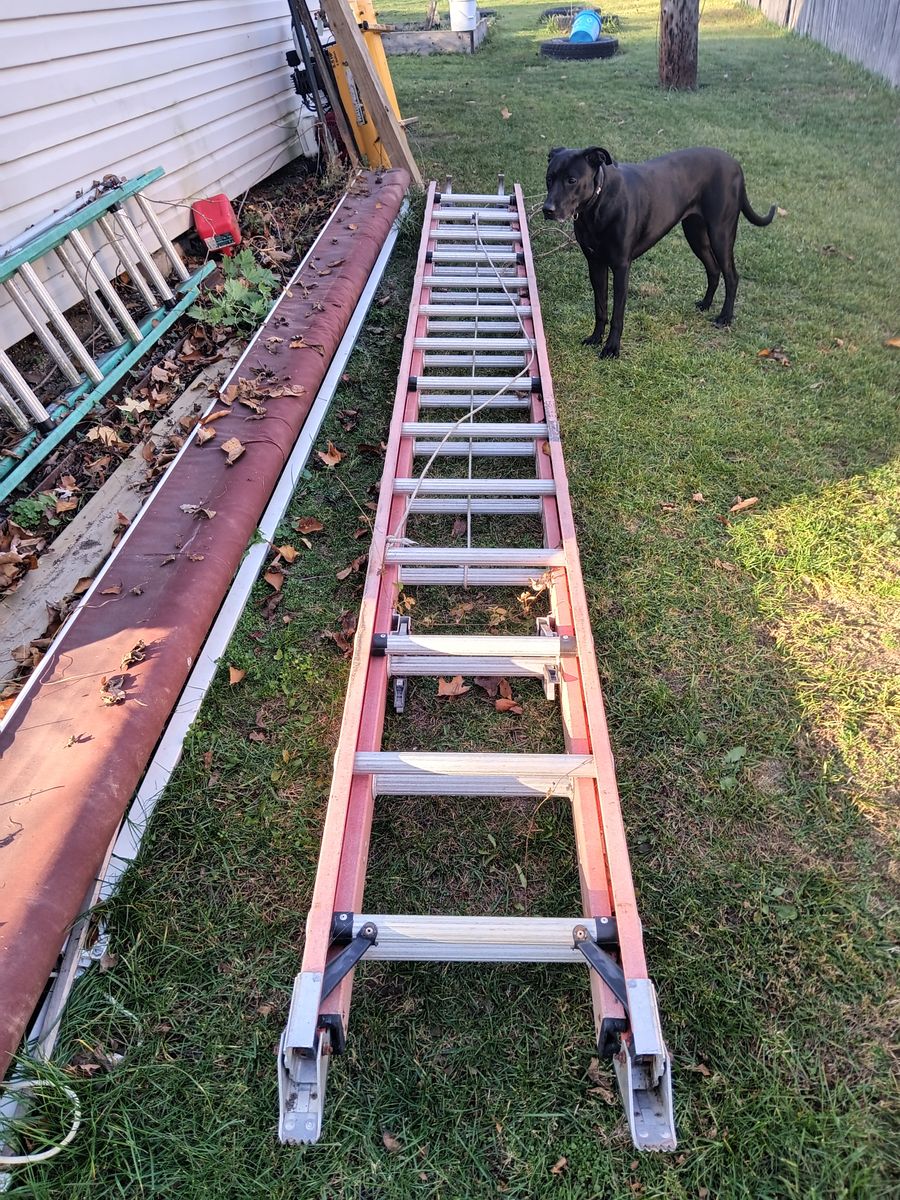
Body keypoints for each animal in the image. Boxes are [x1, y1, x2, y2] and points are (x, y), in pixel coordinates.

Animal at [547, 144, 777, 355]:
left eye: (571, 180)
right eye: (549, 178)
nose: (547, 210)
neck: (598, 203)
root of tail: (736, 164)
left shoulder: (621, 267)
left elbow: (617, 314)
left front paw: (612, 348)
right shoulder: (595, 264)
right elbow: (600, 307)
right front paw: (595, 338)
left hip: (721, 233)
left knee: (732, 276)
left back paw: (725, 317)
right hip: (696, 235)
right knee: (713, 269)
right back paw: (705, 304)